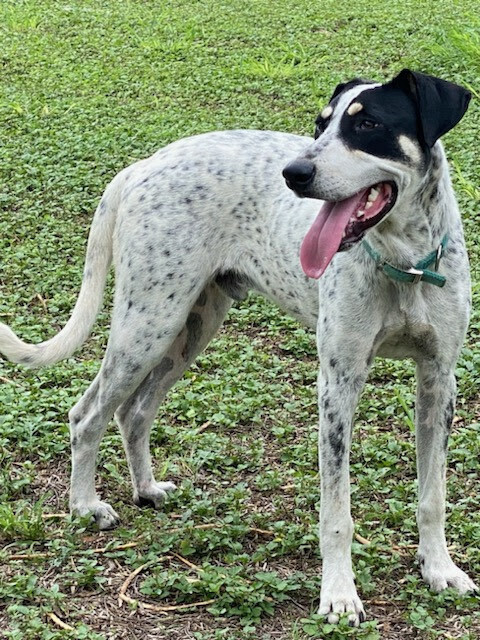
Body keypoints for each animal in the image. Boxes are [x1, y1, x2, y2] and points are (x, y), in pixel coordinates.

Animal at [0, 70, 474, 624]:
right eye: (320, 124)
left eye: (369, 125)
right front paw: (339, 594)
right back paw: (84, 506)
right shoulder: (339, 382)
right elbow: (337, 512)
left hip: (191, 327)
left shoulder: (439, 379)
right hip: (147, 325)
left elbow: (432, 496)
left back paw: (146, 489)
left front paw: (439, 569)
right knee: (88, 414)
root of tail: (140, 167)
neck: (406, 264)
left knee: (133, 412)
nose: (295, 173)